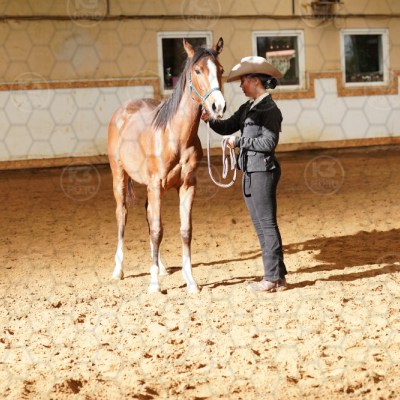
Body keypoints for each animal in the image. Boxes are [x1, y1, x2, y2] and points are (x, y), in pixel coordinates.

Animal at [107, 38, 226, 293]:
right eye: (197, 70)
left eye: (220, 70)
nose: (218, 107)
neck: (175, 136)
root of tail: (121, 111)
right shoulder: (155, 185)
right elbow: (157, 230)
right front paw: (154, 285)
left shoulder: (187, 186)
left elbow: (184, 231)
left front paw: (191, 281)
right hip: (120, 176)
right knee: (122, 215)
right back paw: (118, 270)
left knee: (148, 215)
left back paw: (161, 266)